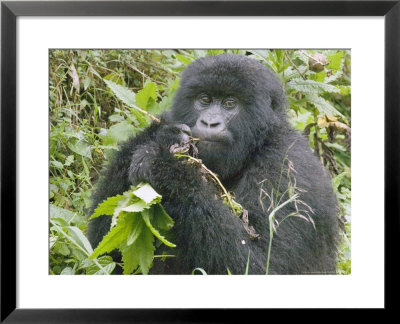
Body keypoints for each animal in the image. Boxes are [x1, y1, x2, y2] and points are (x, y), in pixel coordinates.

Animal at [86, 54, 338, 274]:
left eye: (230, 103)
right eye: (205, 100)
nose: (209, 122)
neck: (258, 144)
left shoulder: (288, 169)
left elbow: (262, 265)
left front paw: (167, 172)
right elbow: (104, 251)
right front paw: (162, 137)